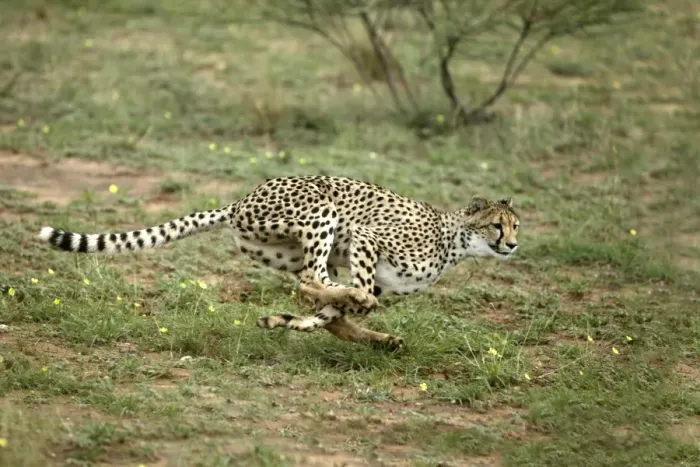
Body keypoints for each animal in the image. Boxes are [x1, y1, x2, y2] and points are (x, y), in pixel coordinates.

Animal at [38, 175, 520, 350]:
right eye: (497, 226)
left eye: (517, 226)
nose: (513, 245)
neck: (454, 240)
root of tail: (239, 201)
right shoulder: (367, 238)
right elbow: (355, 292)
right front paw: (356, 307)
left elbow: (331, 316)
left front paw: (290, 322)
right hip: (322, 211)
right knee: (311, 278)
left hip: (286, 245)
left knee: (313, 286)